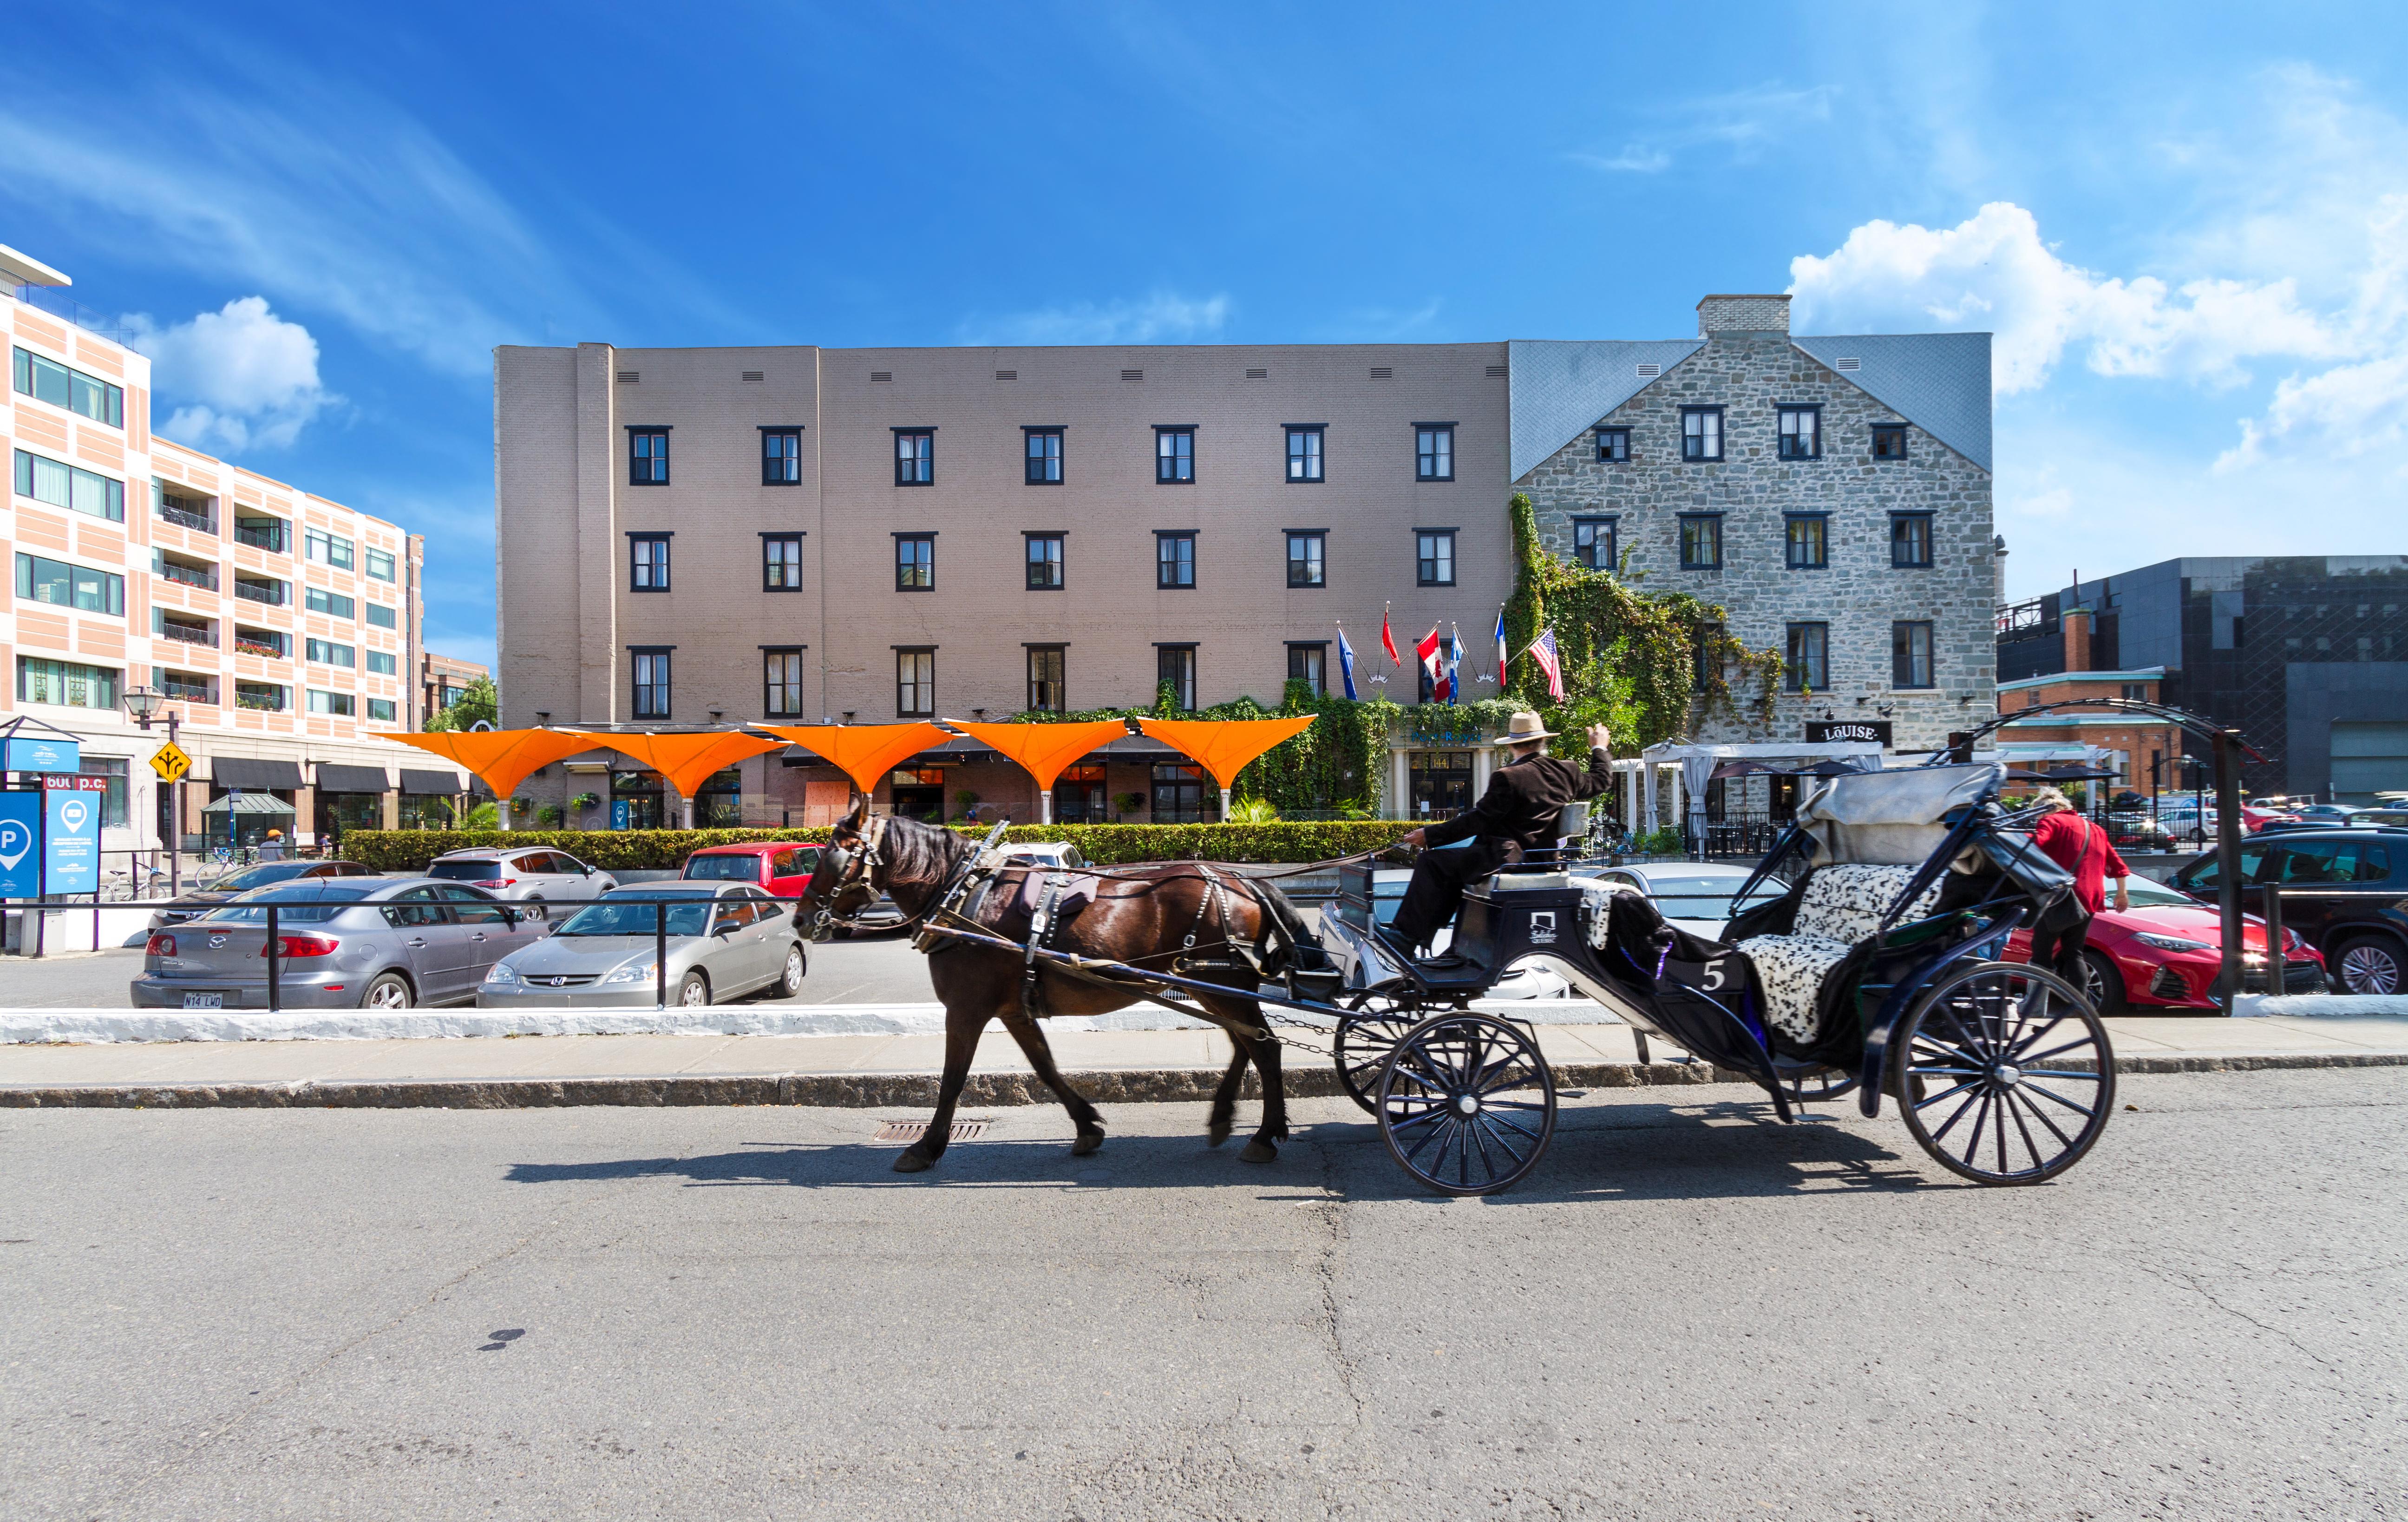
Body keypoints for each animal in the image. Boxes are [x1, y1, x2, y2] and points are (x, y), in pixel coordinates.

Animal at [804, 809, 1300, 1175]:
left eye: (833, 857)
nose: (802, 916)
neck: (962, 895)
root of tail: (1244, 880)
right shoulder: (1014, 1010)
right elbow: (1045, 1068)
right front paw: (1087, 1127)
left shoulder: (965, 1008)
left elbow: (952, 1080)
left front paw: (926, 1148)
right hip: (1215, 985)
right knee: (1246, 1044)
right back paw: (1223, 1117)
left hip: (1224, 984)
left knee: (1265, 1048)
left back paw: (1264, 1136)